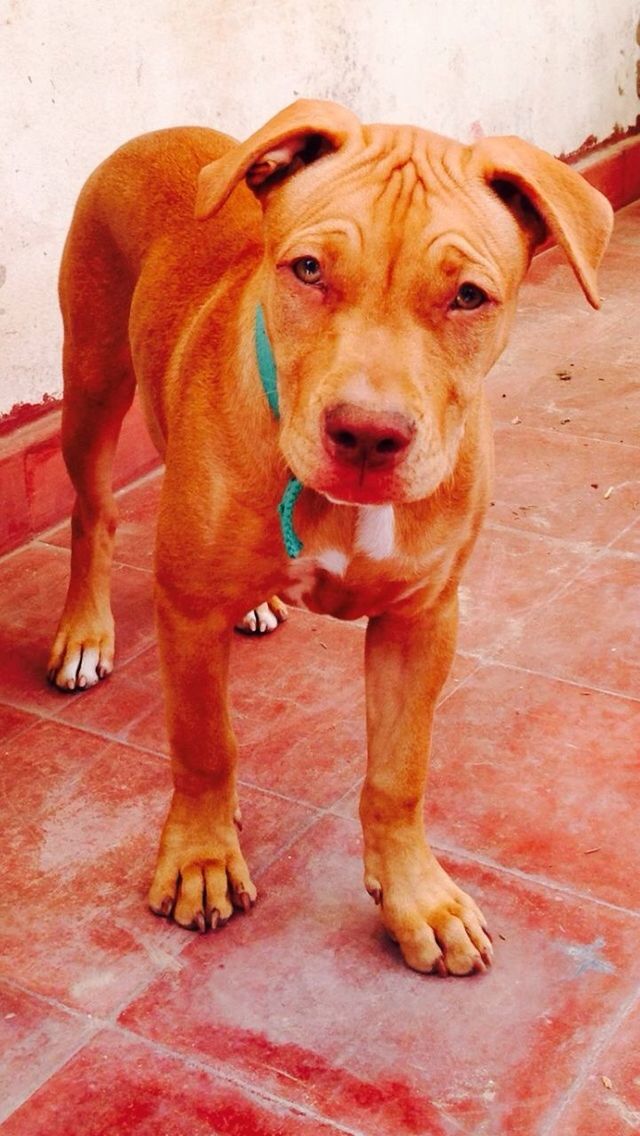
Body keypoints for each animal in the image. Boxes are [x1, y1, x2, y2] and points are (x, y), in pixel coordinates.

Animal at [47, 99, 613, 976]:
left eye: (470, 296)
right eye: (308, 270)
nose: (368, 435)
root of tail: (158, 131)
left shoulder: (423, 619)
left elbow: (399, 774)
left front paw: (418, 899)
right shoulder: (188, 607)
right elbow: (205, 744)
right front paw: (203, 860)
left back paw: (253, 608)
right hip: (93, 378)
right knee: (92, 512)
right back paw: (85, 632)